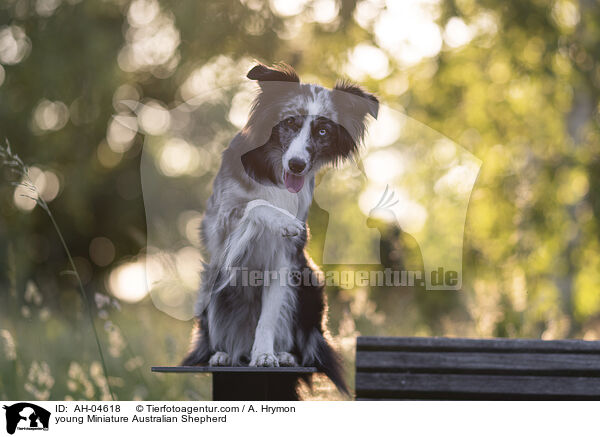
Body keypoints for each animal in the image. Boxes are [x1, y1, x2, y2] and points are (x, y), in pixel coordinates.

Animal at [183, 62, 378, 396]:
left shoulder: (285, 261)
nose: (298, 165)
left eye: (323, 131)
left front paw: (265, 355)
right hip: (213, 283)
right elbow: (255, 205)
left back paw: (284, 354)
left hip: (309, 281)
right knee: (216, 336)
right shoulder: (220, 229)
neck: (273, 173)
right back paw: (222, 353)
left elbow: (269, 317)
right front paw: (283, 221)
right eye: (289, 122)